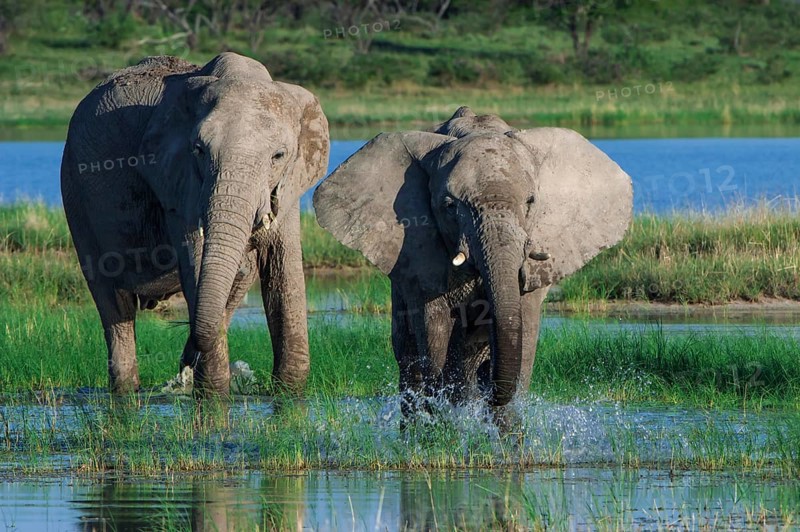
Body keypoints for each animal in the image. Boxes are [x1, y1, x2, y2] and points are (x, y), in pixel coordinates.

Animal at [61, 53, 329, 395]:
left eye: (279, 156)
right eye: (199, 150)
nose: (185, 363)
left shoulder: (289, 183)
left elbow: (282, 267)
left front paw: (288, 392)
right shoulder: (178, 176)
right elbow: (196, 258)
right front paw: (213, 393)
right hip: (74, 191)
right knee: (111, 300)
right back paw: (128, 389)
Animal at [313, 106, 631, 411]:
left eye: (531, 202)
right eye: (449, 206)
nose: (491, 395)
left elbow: (524, 338)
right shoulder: (419, 254)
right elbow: (435, 334)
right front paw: (443, 423)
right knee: (410, 362)